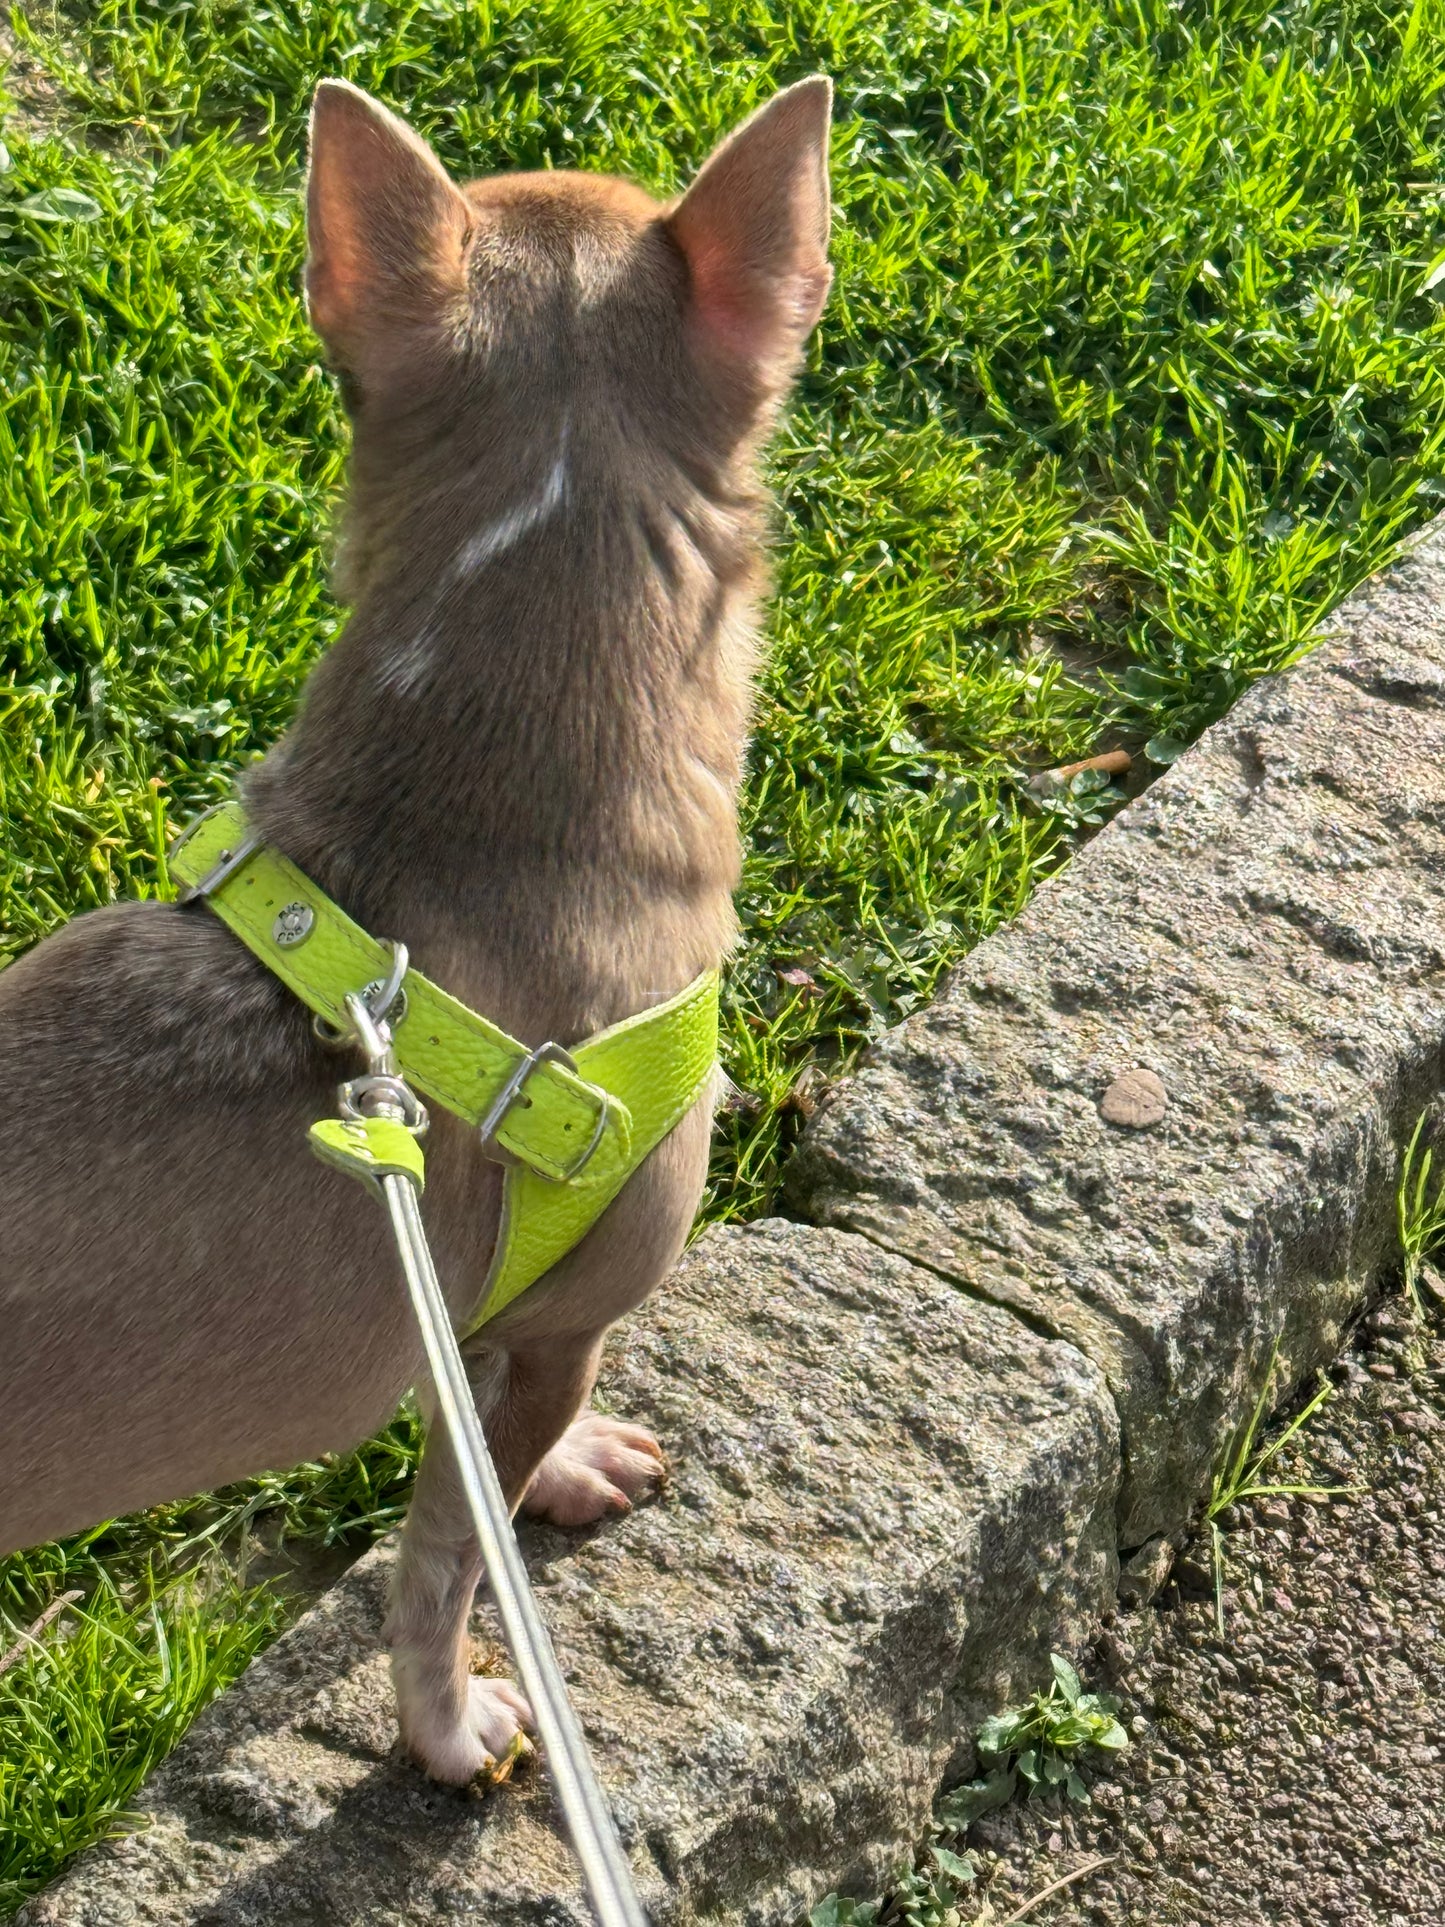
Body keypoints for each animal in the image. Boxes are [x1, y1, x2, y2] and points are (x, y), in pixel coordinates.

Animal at [0, 82, 836, 1780]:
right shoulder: (559, 1316)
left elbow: (467, 1450)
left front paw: (568, 1470)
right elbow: (451, 1553)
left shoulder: (479, 1319)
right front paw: (450, 1728)